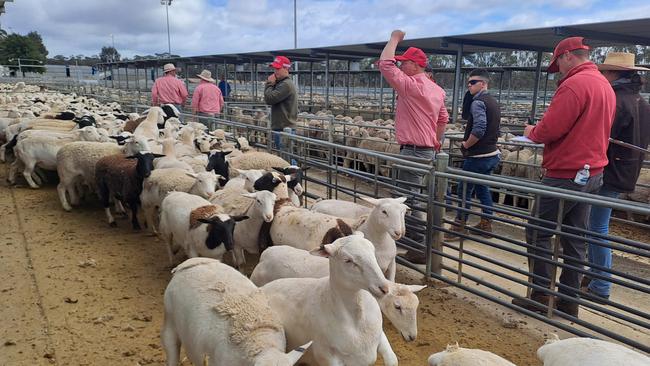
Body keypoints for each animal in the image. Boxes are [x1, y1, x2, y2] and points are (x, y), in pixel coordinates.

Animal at [260, 234, 394, 366]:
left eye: (373, 252)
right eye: (348, 260)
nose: (384, 288)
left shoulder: (381, 336)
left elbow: (392, 359)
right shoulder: (325, 355)